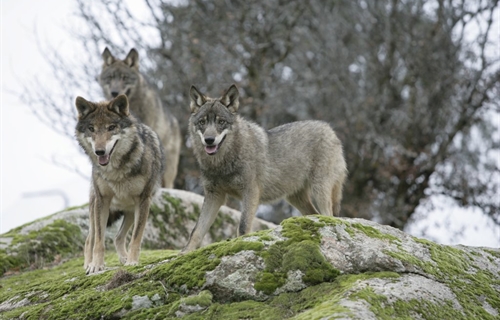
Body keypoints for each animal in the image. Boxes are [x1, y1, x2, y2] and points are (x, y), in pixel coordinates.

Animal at [75, 94, 164, 274]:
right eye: (91, 128)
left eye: (111, 127)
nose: (99, 152)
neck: (115, 171)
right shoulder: (102, 201)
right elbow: (99, 241)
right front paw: (96, 265)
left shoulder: (143, 200)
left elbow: (136, 238)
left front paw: (132, 262)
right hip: (95, 209)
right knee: (89, 240)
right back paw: (88, 264)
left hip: (130, 211)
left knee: (118, 237)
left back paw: (124, 258)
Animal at [183, 84, 348, 252]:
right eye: (202, 122)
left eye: (221, 122)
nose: (209, 140)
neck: (222, 163)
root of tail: (330, 129)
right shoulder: (214, 195)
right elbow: (196, 231)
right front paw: (184, 253)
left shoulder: (250, 192)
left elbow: (243, 227)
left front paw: (240, 245)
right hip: (295, 198)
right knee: (315, 214)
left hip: (319, 190)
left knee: (329, 216)